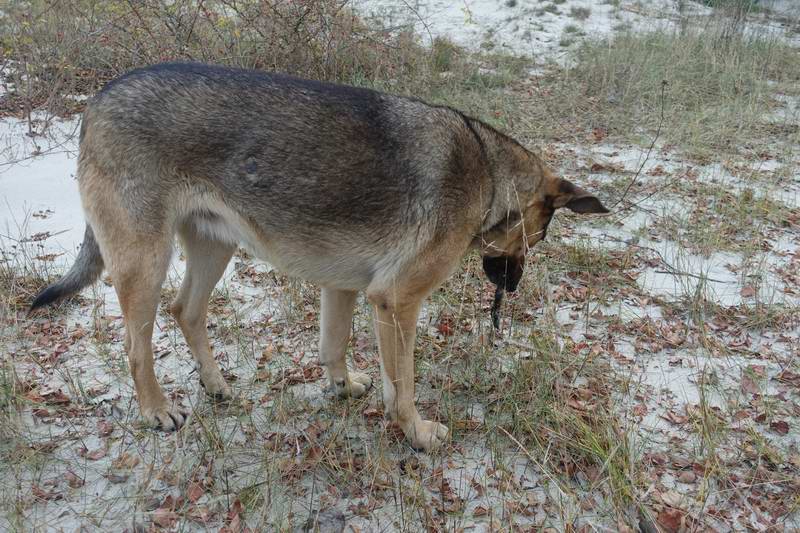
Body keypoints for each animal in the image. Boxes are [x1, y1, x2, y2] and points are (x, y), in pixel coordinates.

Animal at [29, 64, 608, 450]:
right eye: (538, 239)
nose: (511, 289)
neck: (488, 173)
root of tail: (97, 101)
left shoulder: (345, 288)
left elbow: (333, 347)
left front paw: (342, 386)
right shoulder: (397, 304)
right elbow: (404, 386)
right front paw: (417, 433)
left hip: (215, 247)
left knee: (186, 311)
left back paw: (215, 386)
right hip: (145, 263)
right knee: (136, 346)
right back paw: (156, 410)